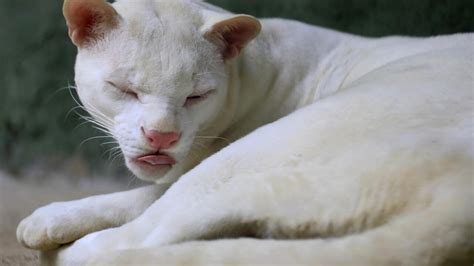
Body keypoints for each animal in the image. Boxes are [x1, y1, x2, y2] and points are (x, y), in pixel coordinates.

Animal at [16, 0, 472, 264]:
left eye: (196, 96)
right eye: (124, 88)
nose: (161, 135)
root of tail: (458, 210)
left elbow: (143, 197)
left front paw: (51, 221)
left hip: (256, 155)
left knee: (144, 235)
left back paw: (52, 237)